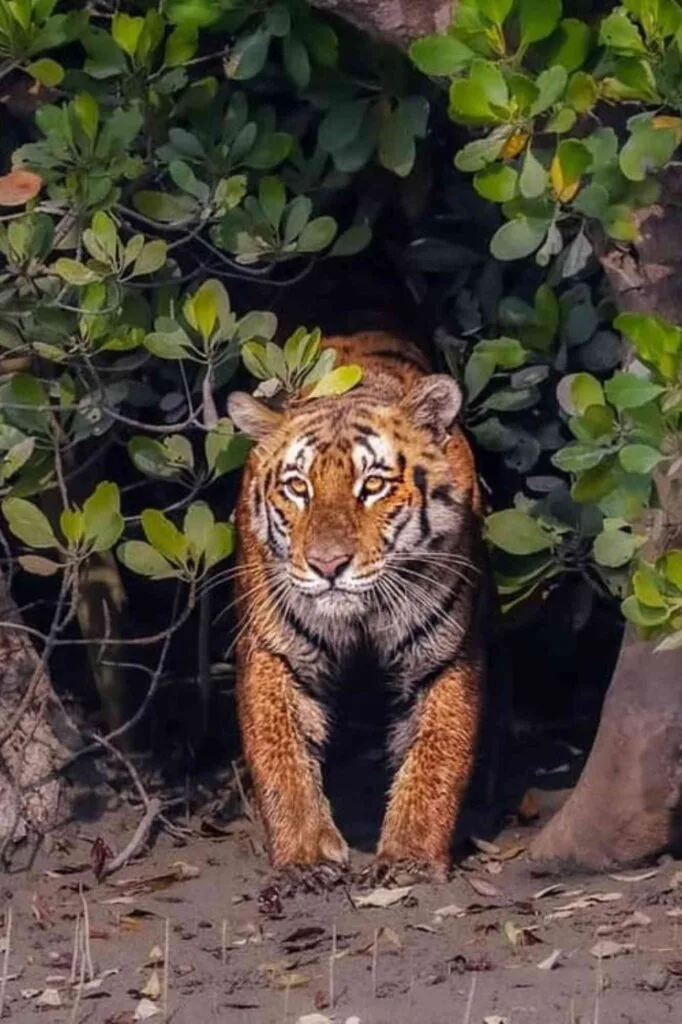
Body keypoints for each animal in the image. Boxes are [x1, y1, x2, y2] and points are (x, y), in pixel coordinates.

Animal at [227, 330, 487, 878]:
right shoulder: (274, 649)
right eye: (297, 487)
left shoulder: (446, 652)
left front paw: (410, 854)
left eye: (372, 485)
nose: (328, 565)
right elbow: (280, 754)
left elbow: (439, 751)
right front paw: (305, 854)